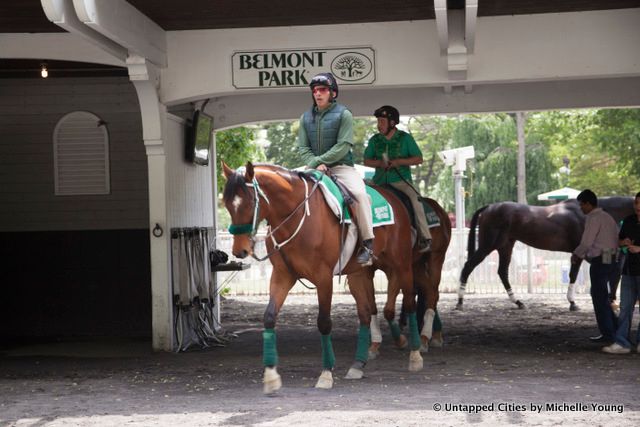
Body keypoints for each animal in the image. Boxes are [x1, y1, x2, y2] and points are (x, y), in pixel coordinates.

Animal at [222, 162, 426, 393]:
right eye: (227, 204)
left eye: (249, 203)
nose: (240, 251)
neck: (297, 216)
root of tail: (393, 197)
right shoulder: (282, 275)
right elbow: (269, 317)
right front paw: (271, 375)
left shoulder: (323, 277)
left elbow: (324, 322)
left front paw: (326, 374)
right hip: (358, 274)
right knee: (365, 314)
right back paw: (358, 364)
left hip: (401, 265)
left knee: (409, 303)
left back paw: (415, 355)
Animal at [456, 197, 634, 311]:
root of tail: (489, 207)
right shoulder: (584, 252)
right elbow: (576, 275)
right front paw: (573, 303)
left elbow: (576, 275)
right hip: (488, 245)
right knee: (468, 266)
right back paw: (459, 302)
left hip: (505, 246)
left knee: (502, 272)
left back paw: (518, 302)